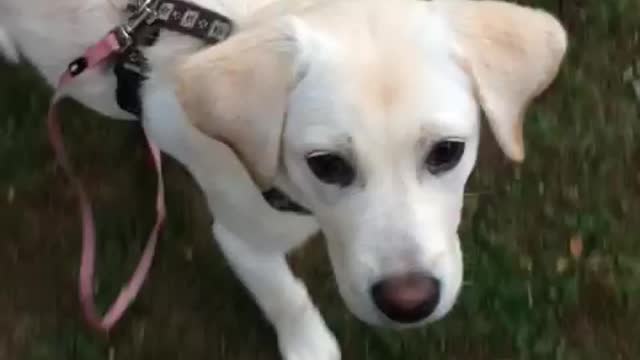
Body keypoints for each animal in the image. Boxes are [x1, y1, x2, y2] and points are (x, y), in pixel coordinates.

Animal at [0, 0, 568, 358]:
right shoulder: (241, 235)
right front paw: (309, 346)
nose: (409, 304)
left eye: (447, 152)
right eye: (327, 165)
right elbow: (283, 294)